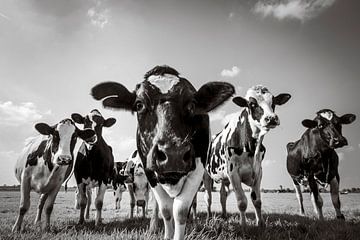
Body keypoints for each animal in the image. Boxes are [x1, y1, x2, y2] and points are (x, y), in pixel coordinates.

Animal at [91, 64, 235, 239]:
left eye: (192, 104)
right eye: (139, 105)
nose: (173, 154)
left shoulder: (197, 170)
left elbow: (180, 210)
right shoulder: (150, 172)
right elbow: (166, 210)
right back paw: (153, 226)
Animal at [204, 85, 292, 226]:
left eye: (273, 102)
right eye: (252, 104)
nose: (271, 118)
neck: (250, 147)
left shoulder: (258, 171)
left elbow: (257, 200)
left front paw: (260, 224)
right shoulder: (233, 172)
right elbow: (242, 202)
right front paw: (244, 226)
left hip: (224, 178)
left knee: (223, 196)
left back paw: (224, 216)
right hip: (206, 175)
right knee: (208, 198)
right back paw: (208, 217)